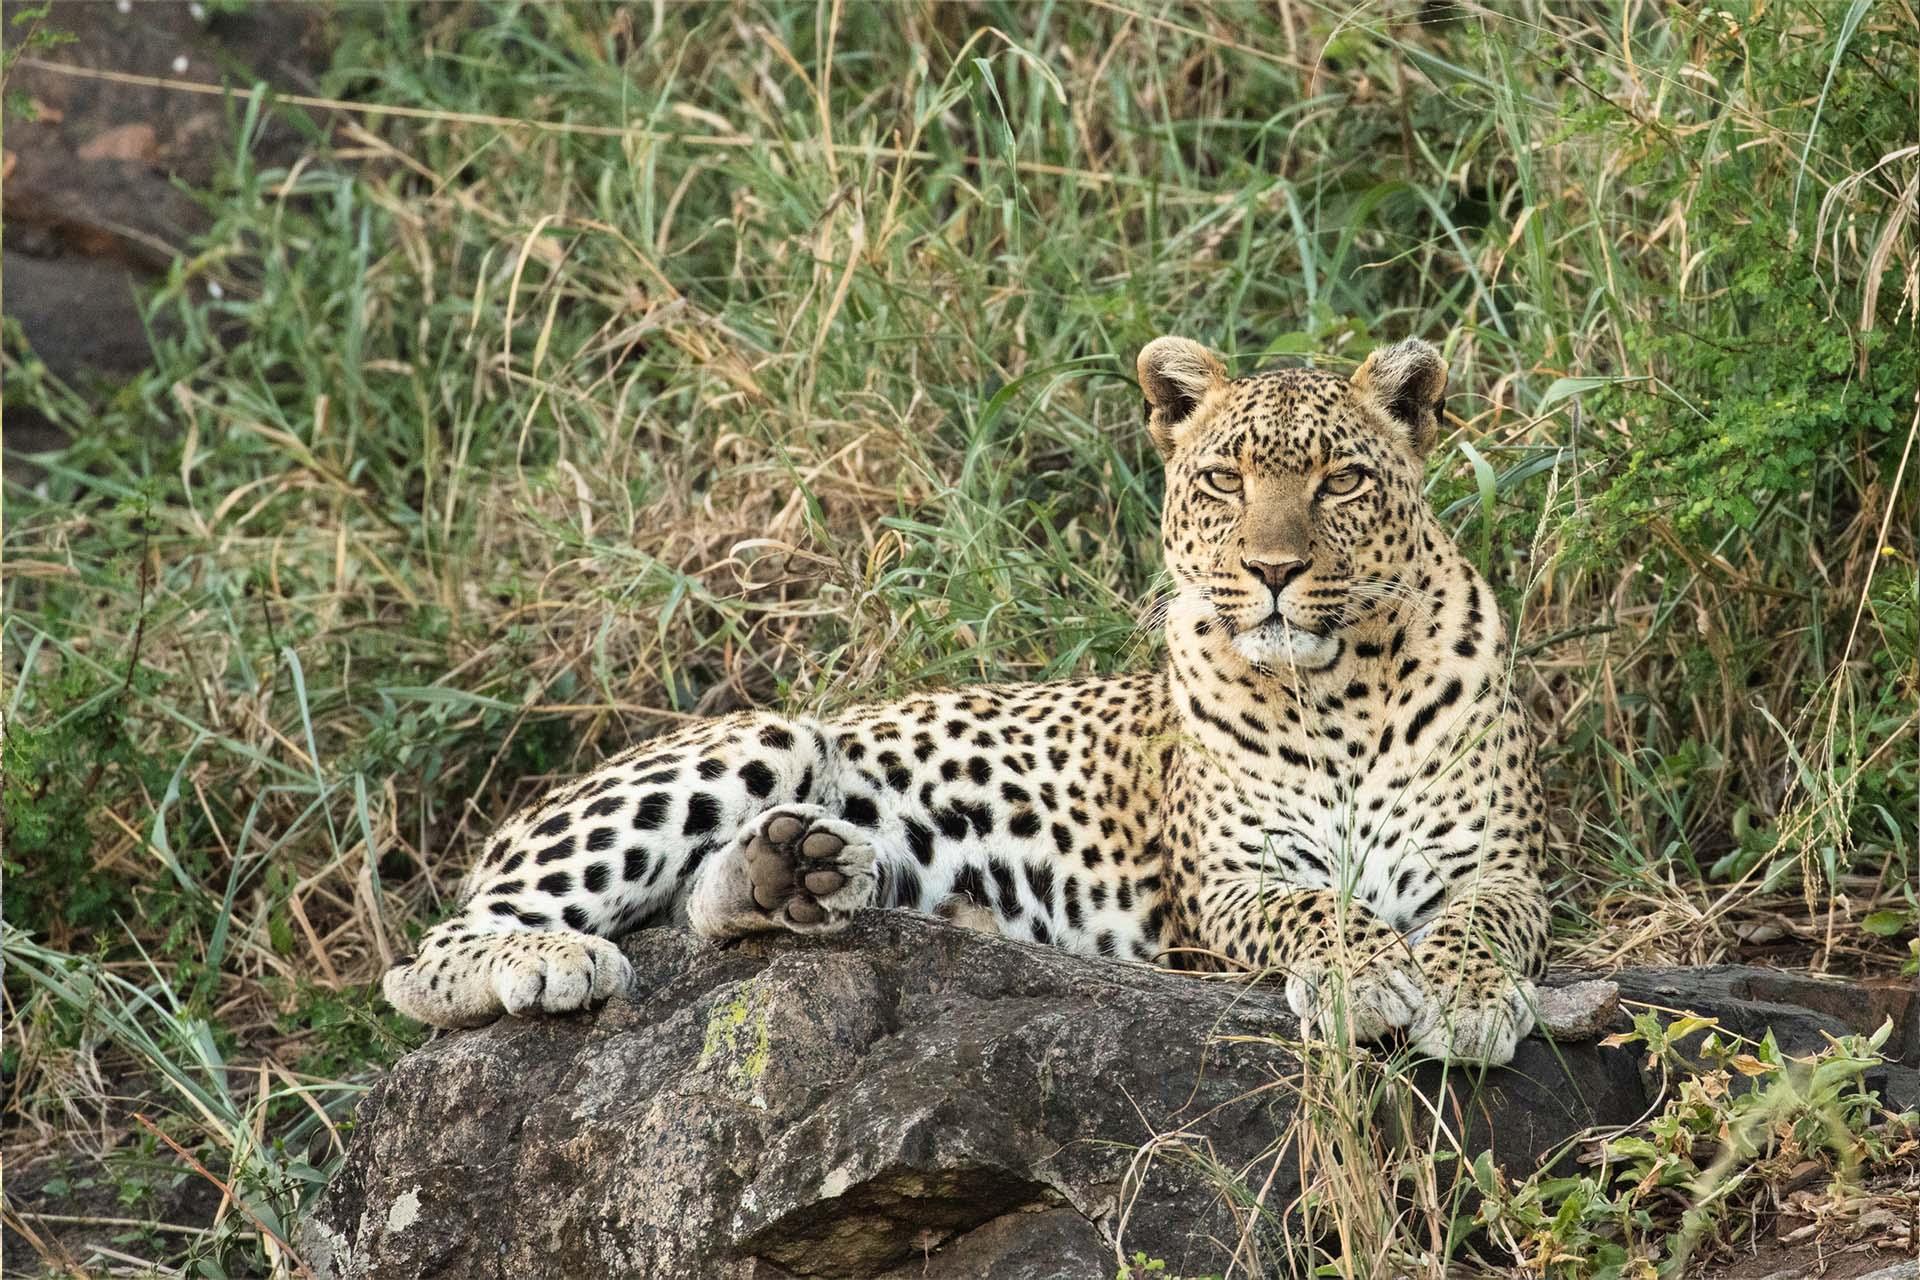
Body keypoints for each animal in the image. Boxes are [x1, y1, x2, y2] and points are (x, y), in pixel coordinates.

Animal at [382, 335, 1552, 1065]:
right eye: (1225, 480)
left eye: (1340, 482)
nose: (1271, 570)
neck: (1335, 690)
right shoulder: (1228, 883)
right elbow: (1318, 909)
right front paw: (1371, 974)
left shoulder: (1500, 863)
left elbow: (1485, 922)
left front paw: (1466, 996)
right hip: (761, 733)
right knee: (426, 960)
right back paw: (550, 958)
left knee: (700, 914)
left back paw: (791, 870)